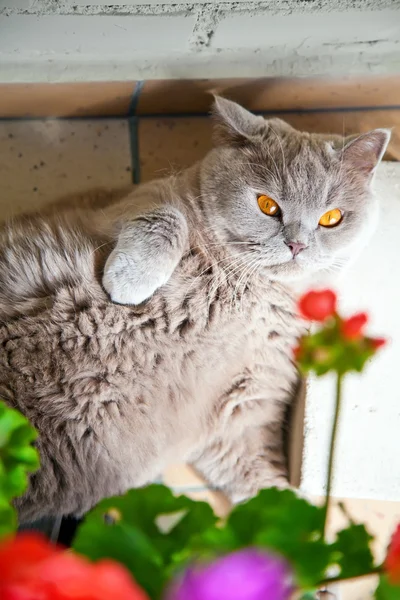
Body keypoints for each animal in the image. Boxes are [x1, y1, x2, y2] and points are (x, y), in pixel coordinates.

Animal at [0, 97, 390, 520]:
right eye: (267, 205)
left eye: (331, 218)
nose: (297, 244)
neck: (254, 291)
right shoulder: (123, 205)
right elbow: (165, 216)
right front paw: (129, 283)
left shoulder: (247, 412)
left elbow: (264, 481)